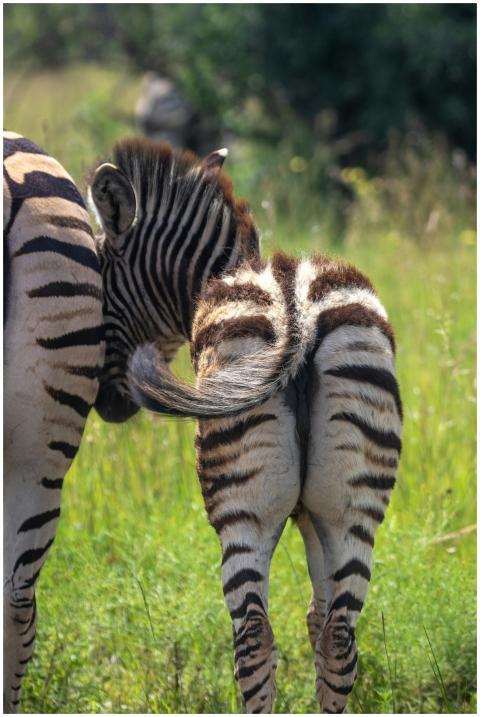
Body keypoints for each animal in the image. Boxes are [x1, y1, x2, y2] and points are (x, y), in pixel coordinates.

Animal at [129, 251, 403, 713]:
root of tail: (297, 308)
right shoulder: (315, 518)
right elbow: (317, 614)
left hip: (242, 511)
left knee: (253, 638)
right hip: (354, 508)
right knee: (339, 636)